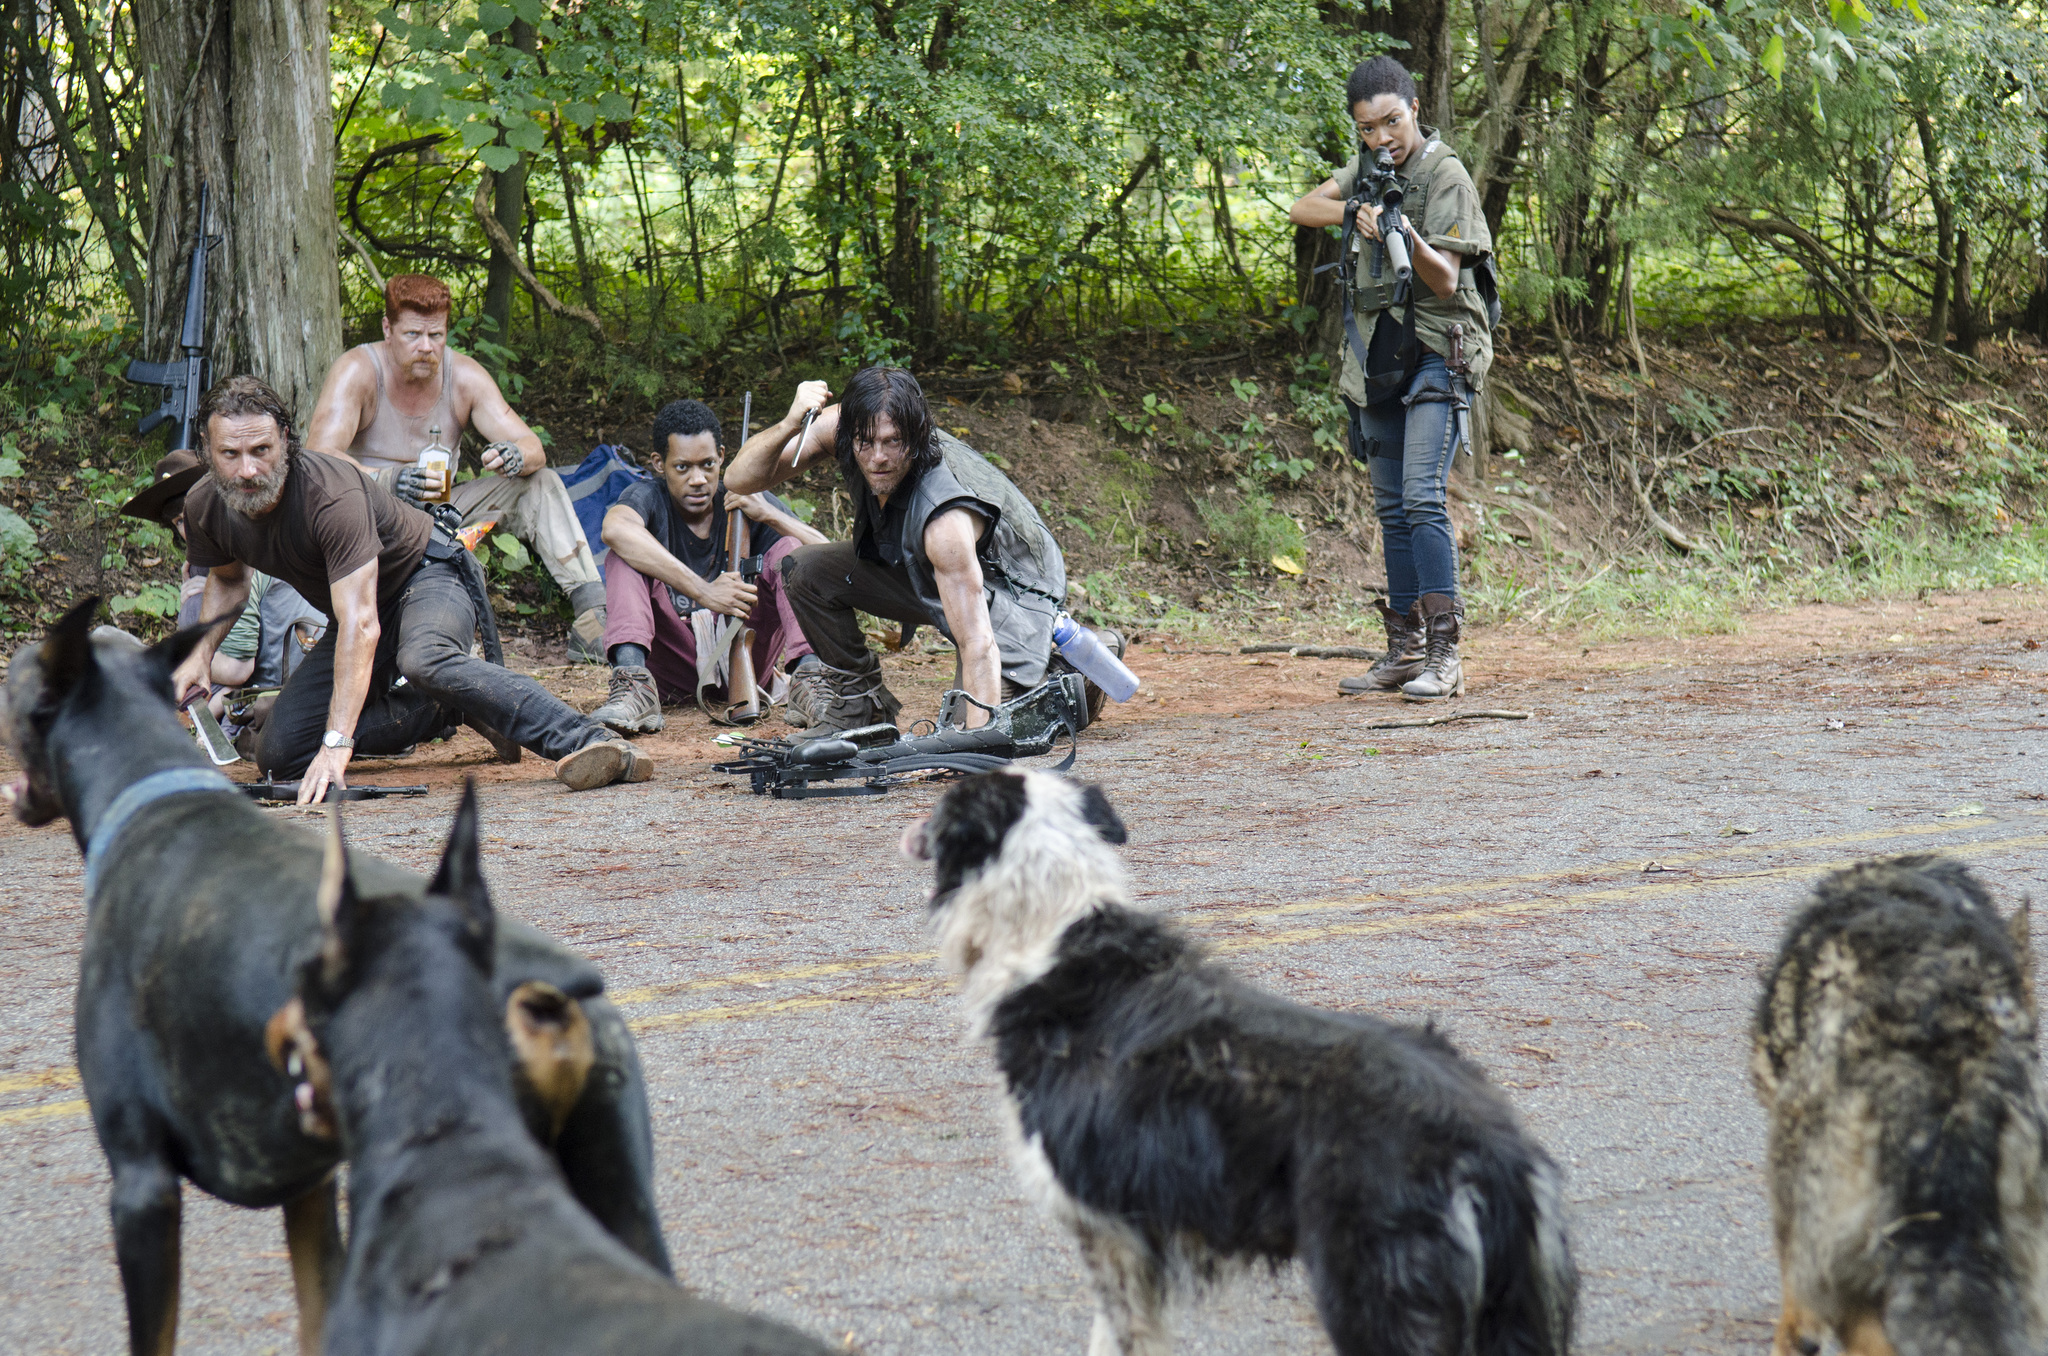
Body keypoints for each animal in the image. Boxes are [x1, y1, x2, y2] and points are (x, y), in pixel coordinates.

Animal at [0, 606, 667, 1356]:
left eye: (16, 680)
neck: (151, 791)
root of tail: (548, 984)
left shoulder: (142, 1186)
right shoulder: (309, 1189)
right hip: (621, 1203)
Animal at [901, 770, 1581, 1356]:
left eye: (944, 807)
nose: (908, 829)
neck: (1054, 930)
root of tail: (1490, 1147)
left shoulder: (1108, 1231)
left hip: (1370, 1300)